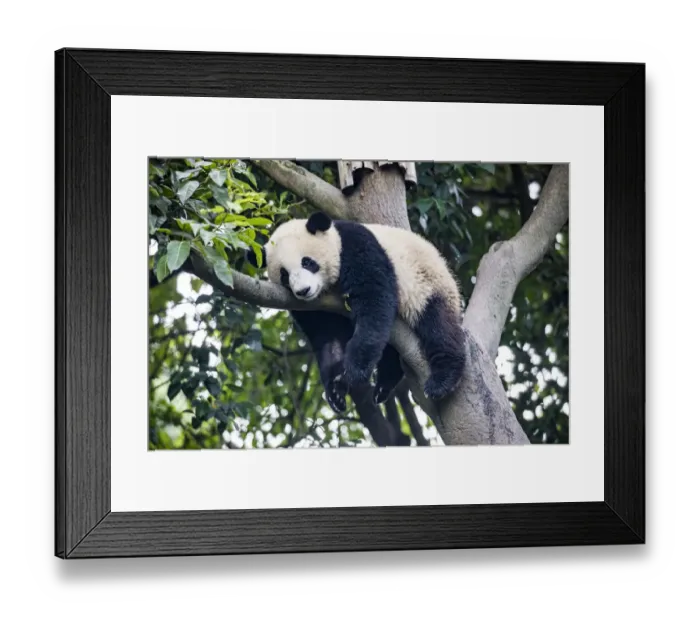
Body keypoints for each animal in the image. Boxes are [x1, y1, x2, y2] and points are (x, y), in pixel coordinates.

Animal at [247, 211, 467, 414]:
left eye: (307, 262)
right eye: (284, 275)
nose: (303, 291)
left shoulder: (355, 247)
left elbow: (373, 302)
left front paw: (353, 372)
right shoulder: (312, 307)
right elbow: (327, 334)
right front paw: (335, 391)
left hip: (428, 284)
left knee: (438, 326)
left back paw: (442, 380)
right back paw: (384, 384)